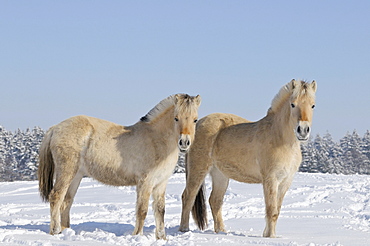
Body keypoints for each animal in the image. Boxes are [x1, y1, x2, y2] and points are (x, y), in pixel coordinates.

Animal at [38, 93, 201, 239]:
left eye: (195, 120)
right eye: (176, 118)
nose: (184, 142)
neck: (156, 139)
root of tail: (55, 128)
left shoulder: (160, 183)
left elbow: (160, 210)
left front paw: (162, 238)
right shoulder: (145, 182)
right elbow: (142, 210)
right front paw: (137, 236)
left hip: (76, 176)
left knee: (66, 202)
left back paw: (66, 230)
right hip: (66, 171)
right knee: (56, 197)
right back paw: (56, 231)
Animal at [179, 80, 316, 237]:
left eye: (313, 105)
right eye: (293, 104)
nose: (303, 130)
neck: (280, 138)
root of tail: (195, 126)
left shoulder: (285, 182)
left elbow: (277, 210)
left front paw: (270, 235)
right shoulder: (271, 180)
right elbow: (271, 210)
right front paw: (270, 236)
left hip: (220, 175)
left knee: (215, 201)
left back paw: (221, 231)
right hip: (198, 170)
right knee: (188, 197)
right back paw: (184, 229)